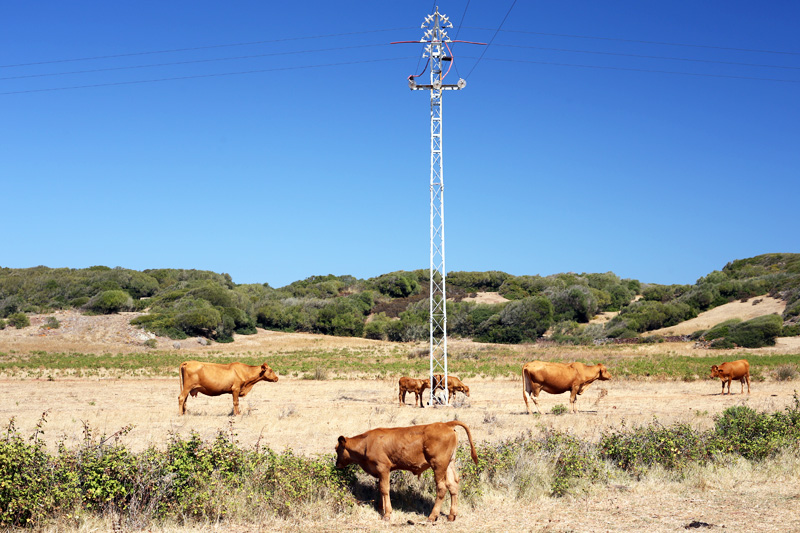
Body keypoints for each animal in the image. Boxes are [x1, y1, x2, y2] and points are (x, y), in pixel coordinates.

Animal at [336, 420, 478, 520]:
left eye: (337, 449)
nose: (337, 464)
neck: (366, 443)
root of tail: (446, 424)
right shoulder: (380, 472)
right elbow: (380, 489)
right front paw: (381, 509)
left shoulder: (383, 468)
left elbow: (384, 489)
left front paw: (387, 514)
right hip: (449, 464)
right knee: (453, 485)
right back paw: (451, 516)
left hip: (438, 465)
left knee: (442, 488)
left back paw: (432, 516)